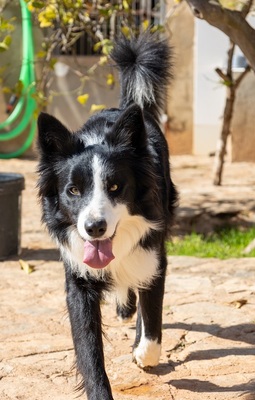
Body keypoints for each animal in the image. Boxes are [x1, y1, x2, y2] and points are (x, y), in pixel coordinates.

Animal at [37, 32, 177, 400]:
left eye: (115, 186)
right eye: (73, 190)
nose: (95, 228)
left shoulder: (153, 252)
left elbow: (152, 315)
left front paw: (144, 353)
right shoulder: (78, 277)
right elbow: (88, 349)